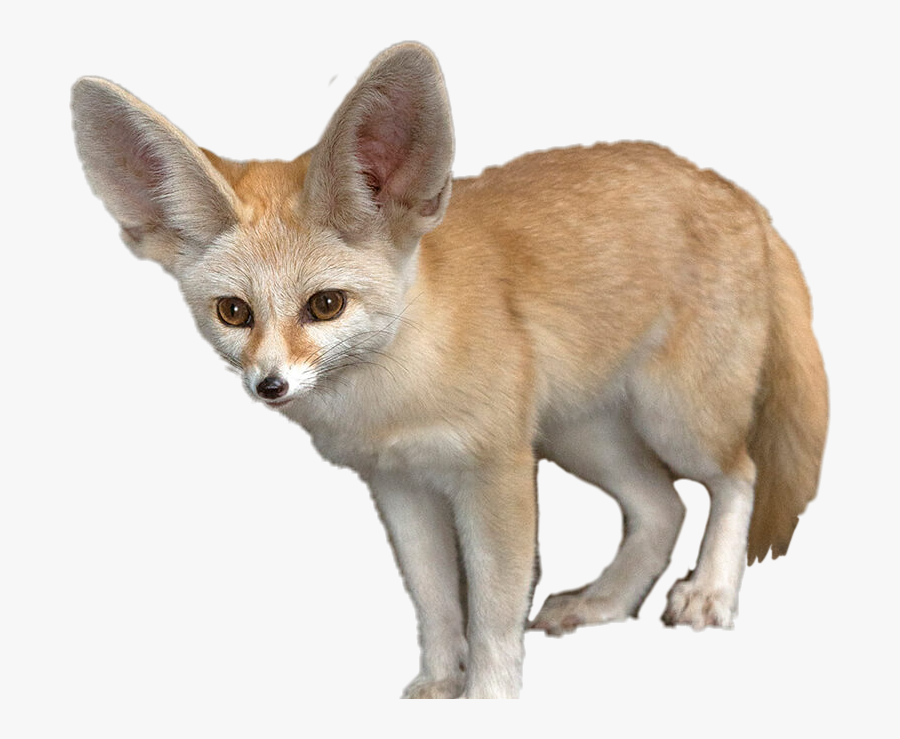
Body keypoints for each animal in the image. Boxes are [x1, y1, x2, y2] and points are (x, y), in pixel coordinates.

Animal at [71, 42, 828, 699]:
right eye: (234, 312)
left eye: (324, 305)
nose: (271, 385)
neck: (393, 397)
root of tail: (736, 192)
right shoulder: (399, 485)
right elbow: (435, 603)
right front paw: (439, 684)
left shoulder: (495, 473)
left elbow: (492, 610)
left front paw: (488, 697)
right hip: (584, 436)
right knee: (661, 506)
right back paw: (604, 602)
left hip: (673, 418)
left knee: (737, 476)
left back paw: (711, 592)